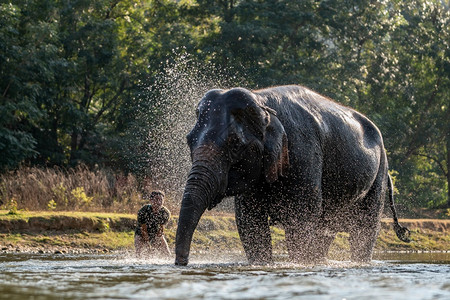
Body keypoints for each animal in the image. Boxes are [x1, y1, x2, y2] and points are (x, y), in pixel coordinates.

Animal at [174, 85, 410, 266]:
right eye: (188, 140)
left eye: (235, 144)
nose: (181, 263)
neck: (263, 102)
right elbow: (249, 222)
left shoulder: (304, 153)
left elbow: (300, 219)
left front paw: (299, 263)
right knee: (326, 230)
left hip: (379, 173)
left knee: (364, 230)